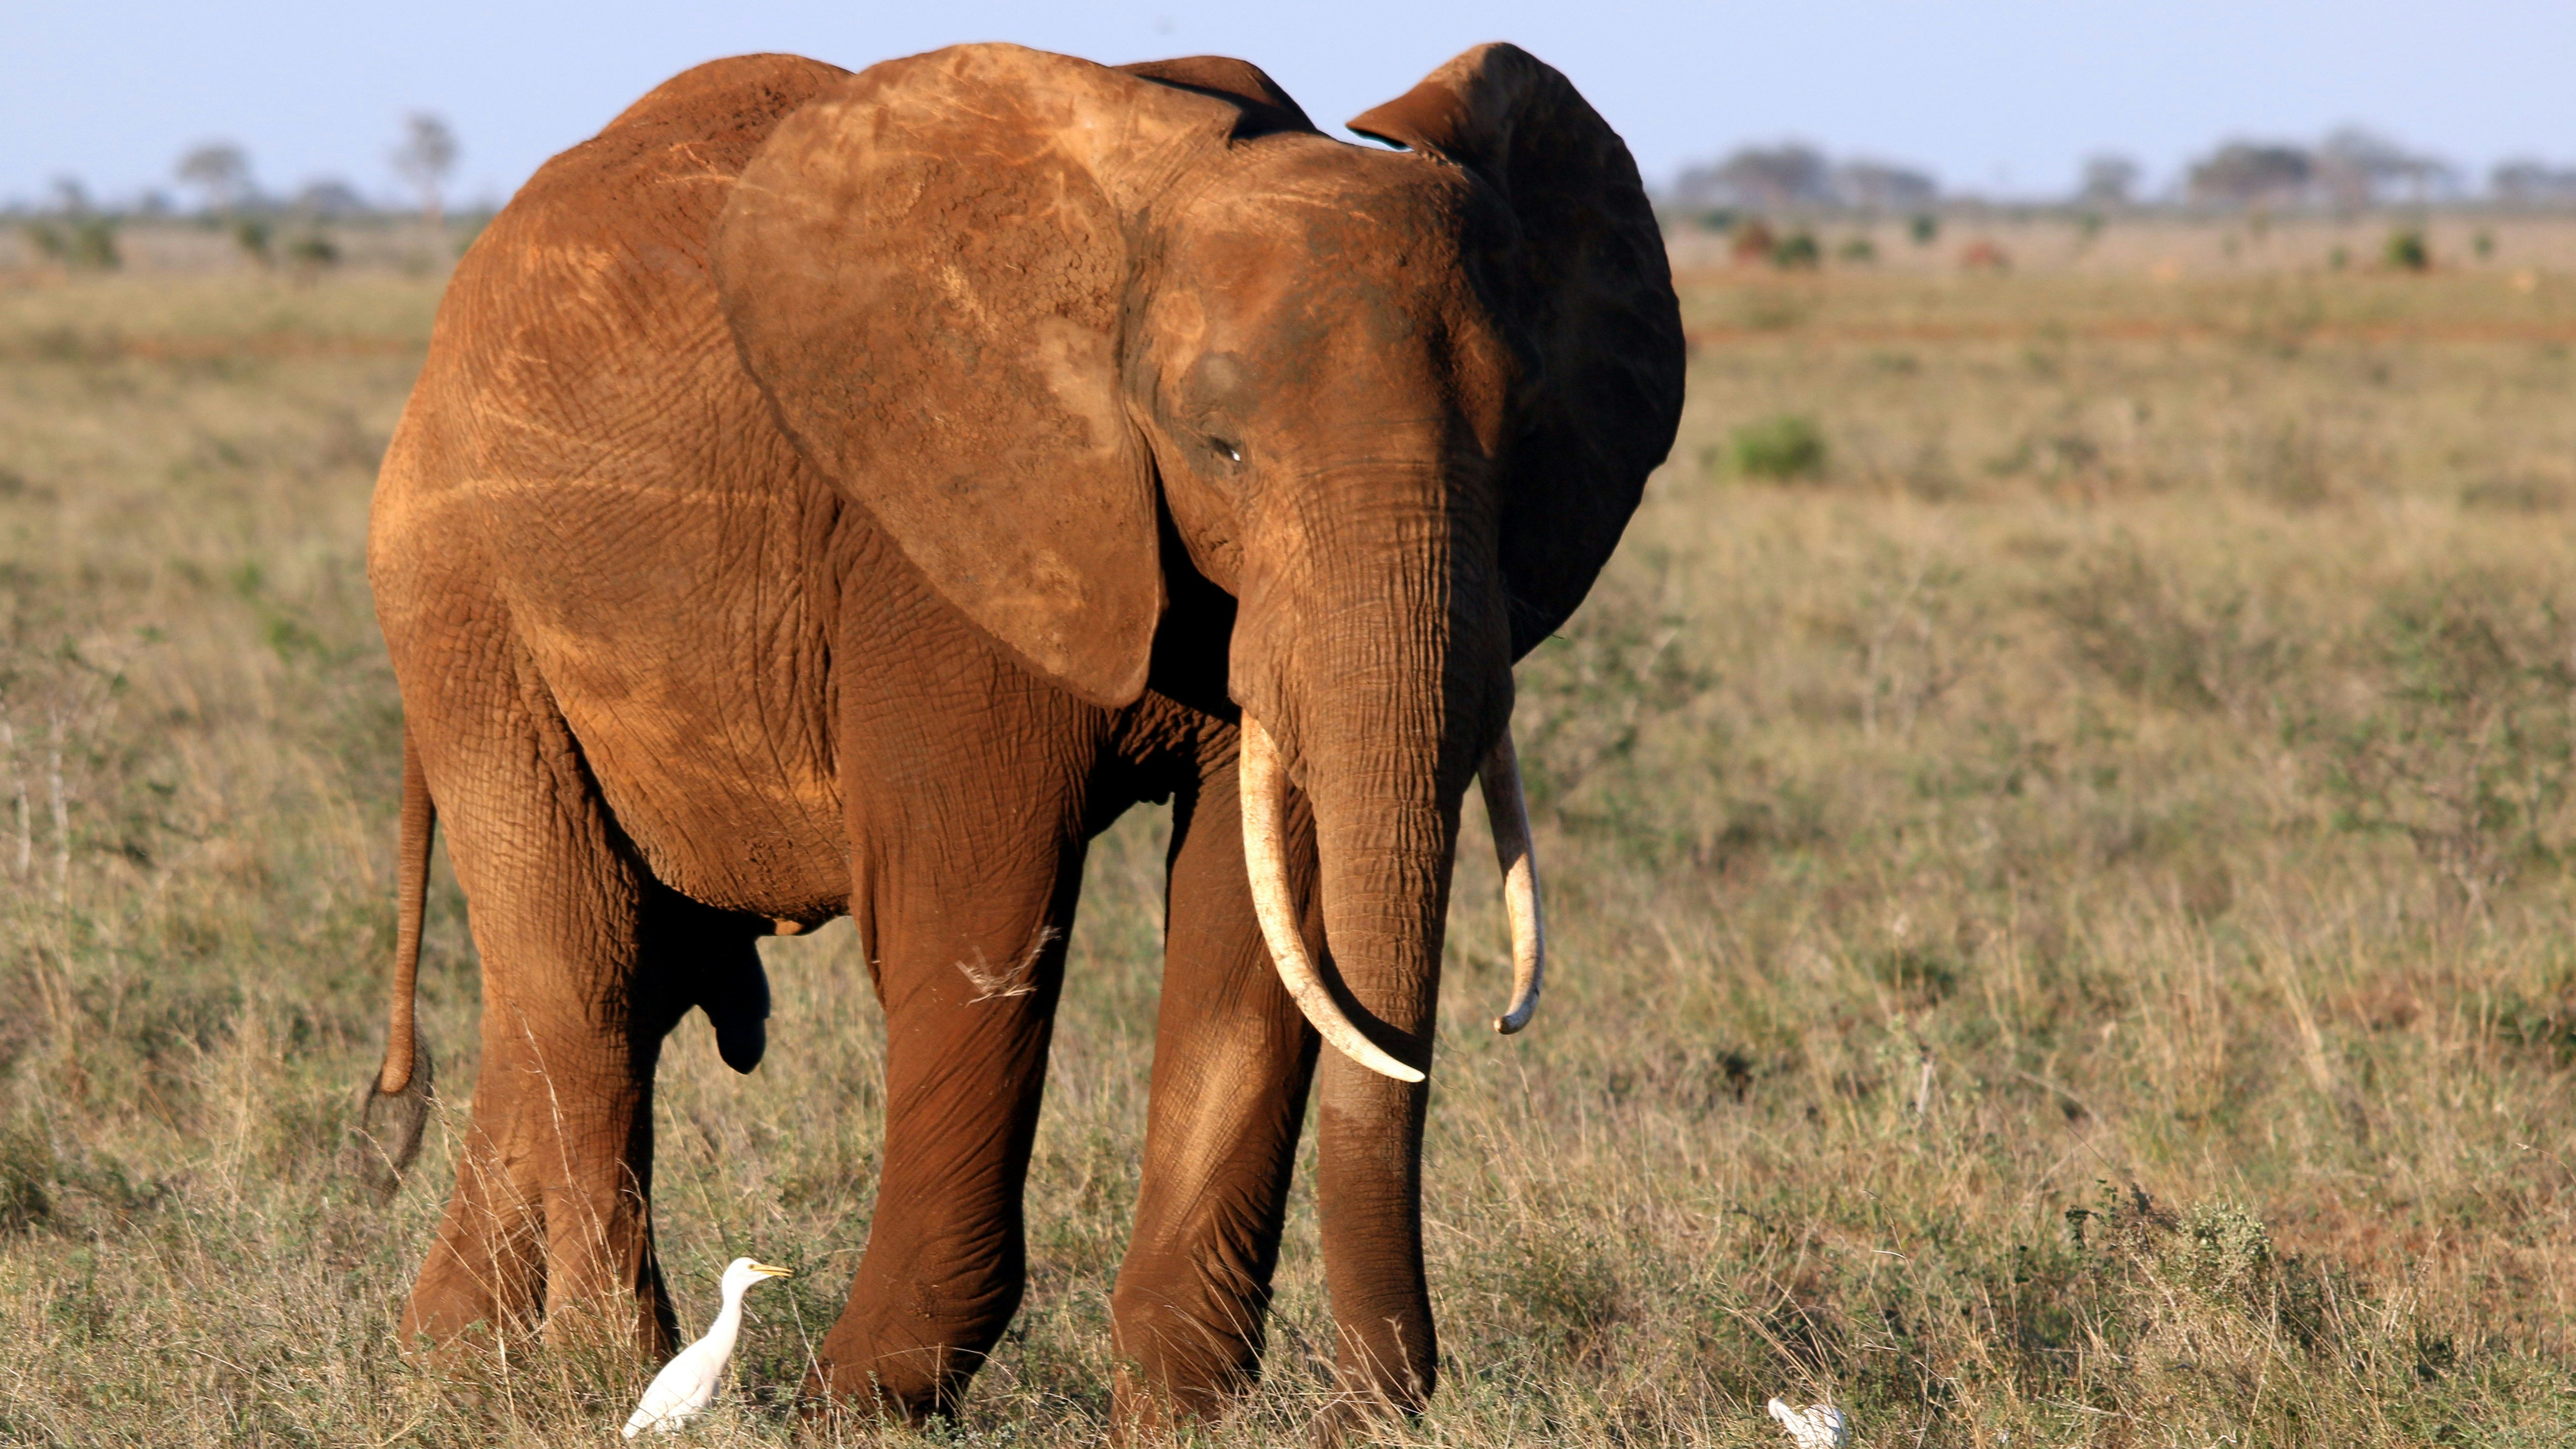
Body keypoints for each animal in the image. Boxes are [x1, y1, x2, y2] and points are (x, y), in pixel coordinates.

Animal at [350, 38, 1680, 1430]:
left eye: (1521, 448)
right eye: (1222, 448)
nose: (1367, 1406)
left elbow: (1256, 931)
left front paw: (1181, 1415)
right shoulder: (934, 546)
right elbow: (974, 920)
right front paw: (857, 1404)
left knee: (600, 978)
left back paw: (454, 1360)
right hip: (459, 601)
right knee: (587, 970)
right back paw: (610, 1372)